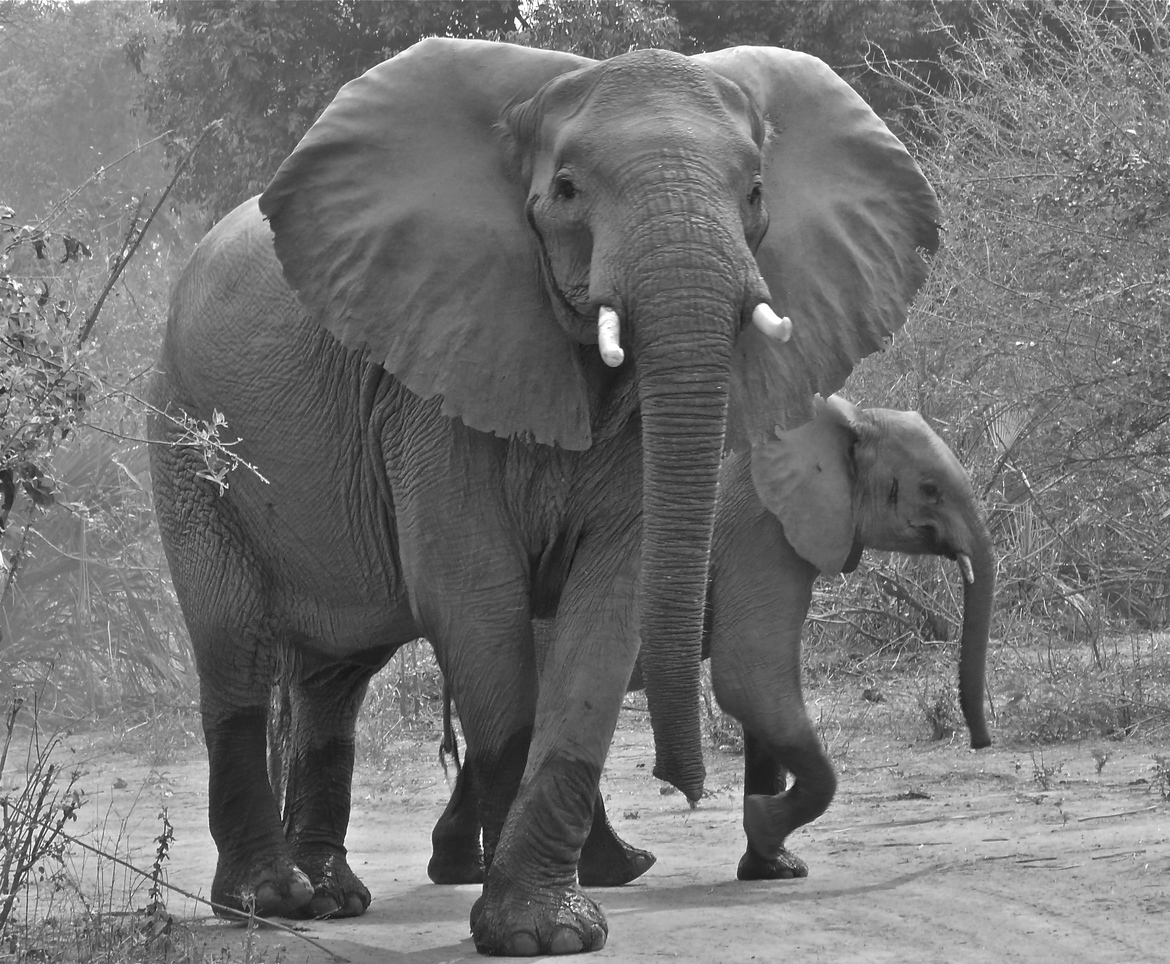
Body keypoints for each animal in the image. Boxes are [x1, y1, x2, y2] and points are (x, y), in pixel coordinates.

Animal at [427, 395, 994, 887]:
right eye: (930, 490)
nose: (981, 742)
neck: (842, 423)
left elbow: (761, 697)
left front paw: (773, 867)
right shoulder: (762, 533)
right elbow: (751, 677)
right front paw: (766, 826)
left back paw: (461, 871)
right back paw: (625, 868)